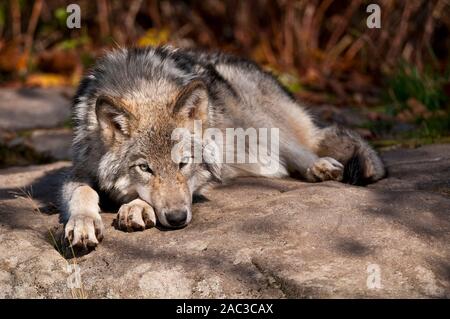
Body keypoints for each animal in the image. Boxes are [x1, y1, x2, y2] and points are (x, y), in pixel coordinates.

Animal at [59, 46, 384, 249]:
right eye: (145, 168)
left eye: (183, 163)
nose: (177, 219)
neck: (143, 87)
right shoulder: (79, 169)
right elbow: (82, 192)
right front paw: (83, 223)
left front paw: (136, 207)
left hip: (262, 123)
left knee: (305, 147)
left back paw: (320, 166)